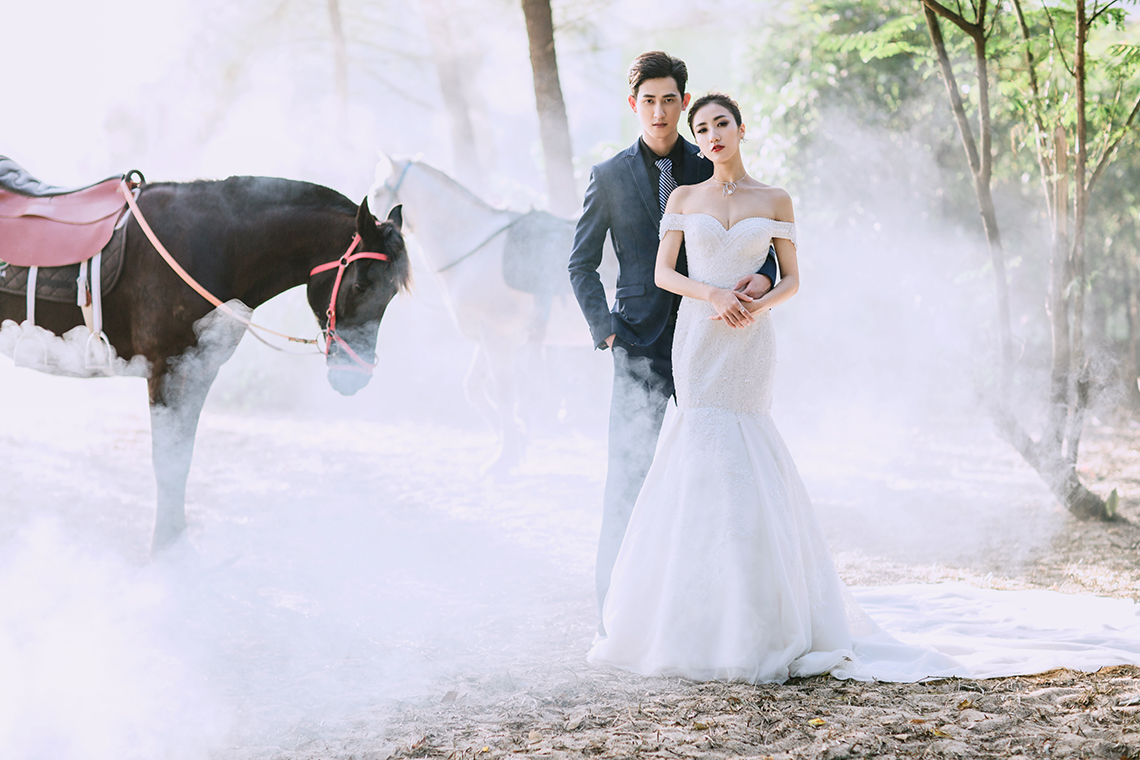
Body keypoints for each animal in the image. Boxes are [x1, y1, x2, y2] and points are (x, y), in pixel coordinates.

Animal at [0, 166, 411, 552]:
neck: (215, 246)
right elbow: (167, 462)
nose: (354, 376)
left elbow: (182, 460)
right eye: (360, 285)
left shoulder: (200, 369)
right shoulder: (166, 368)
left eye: (391, 294)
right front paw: (164, 550)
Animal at [369, 156, 608, 475]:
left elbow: (505, 393)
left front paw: (505, 458)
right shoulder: (489, 338)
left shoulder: (500, 337)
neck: (473, 248)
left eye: (378, 192)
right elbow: (474, 388)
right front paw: (515, 440)